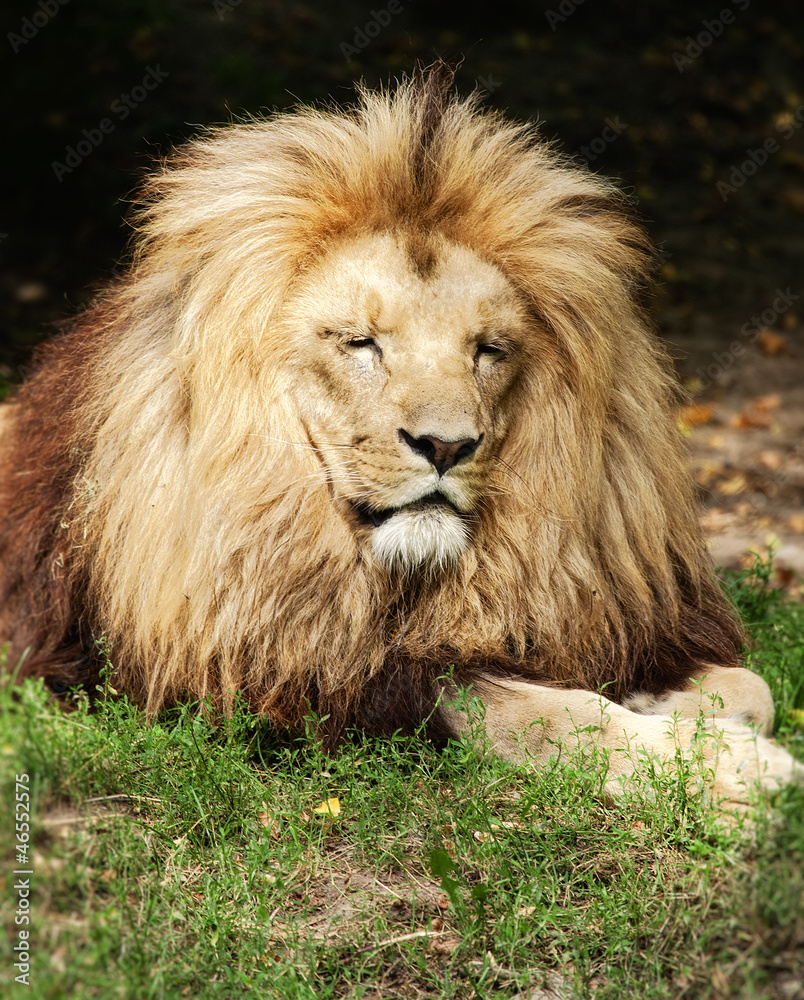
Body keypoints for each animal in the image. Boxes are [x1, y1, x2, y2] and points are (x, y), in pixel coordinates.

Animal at [1, 67, 800, 806]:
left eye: (488, 350)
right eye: (361, 343)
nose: (446, 446)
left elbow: (750, 687)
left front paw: (685, 712)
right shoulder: (300, 674)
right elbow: (549, 714)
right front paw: (735, 770)